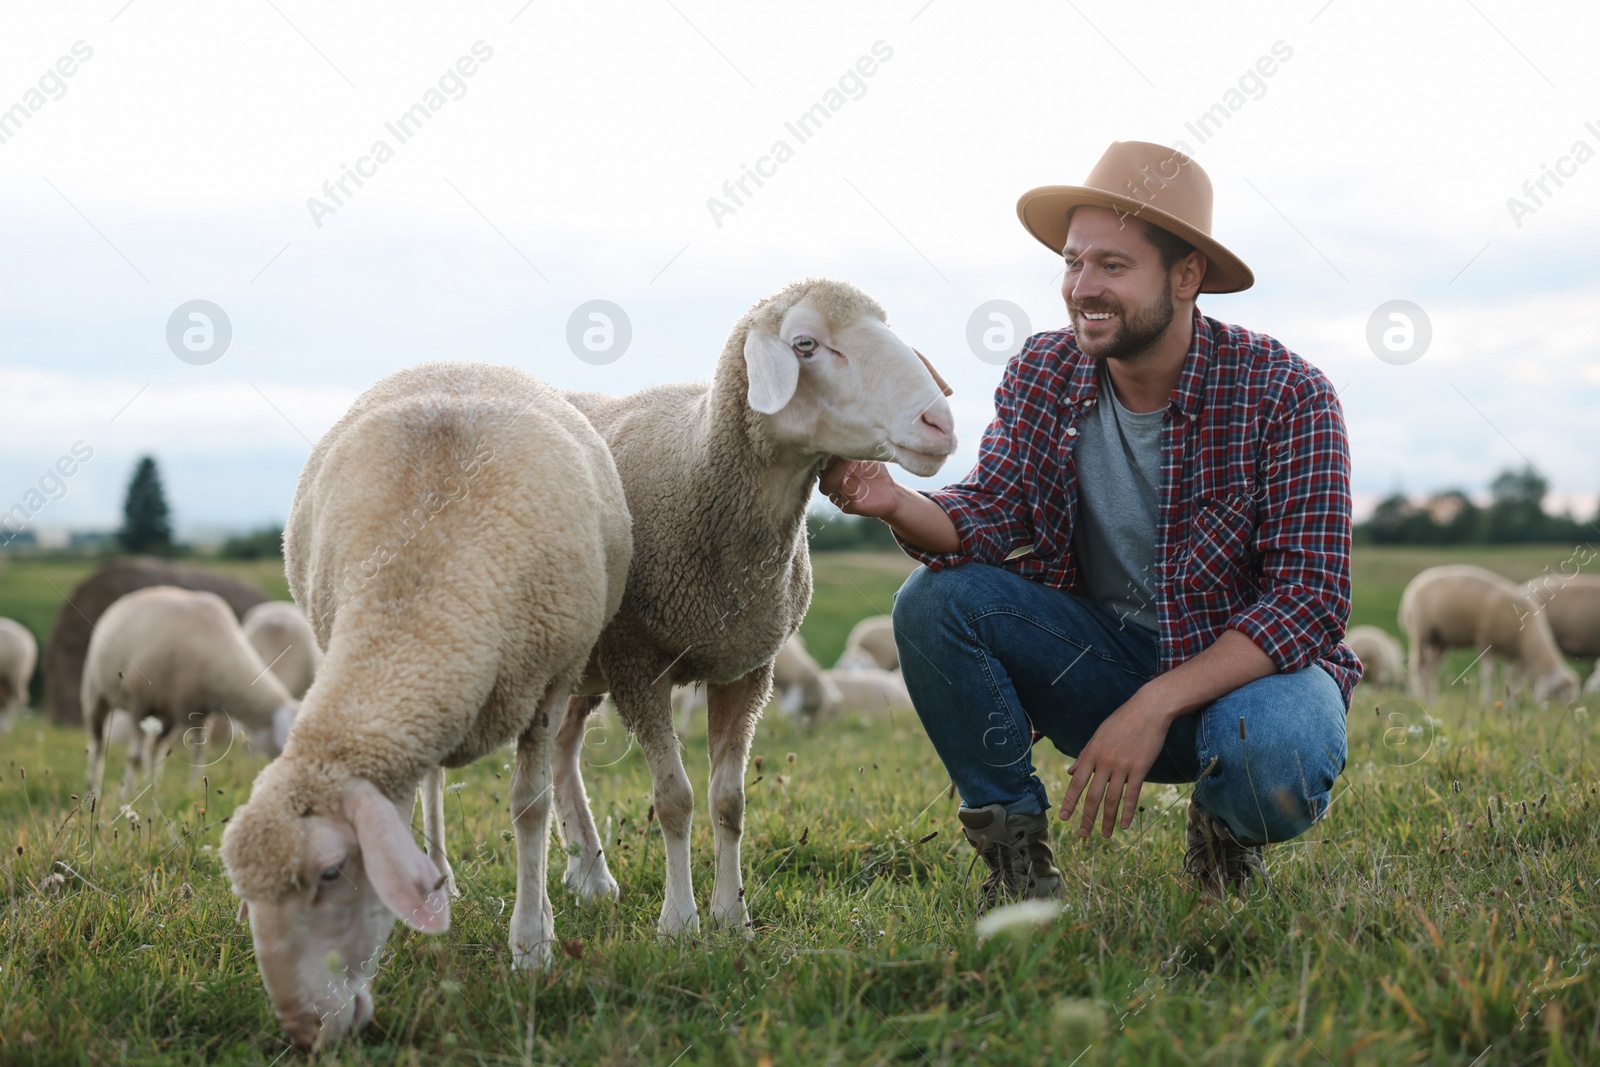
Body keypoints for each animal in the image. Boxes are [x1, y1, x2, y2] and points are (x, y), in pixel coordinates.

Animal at [81, 585, 296, 799]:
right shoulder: (140, 703)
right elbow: (134, 757)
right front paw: (125, 794)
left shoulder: (199, 710)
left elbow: (198, 751)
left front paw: (194, 788)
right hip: (95, 693)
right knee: (98, 745)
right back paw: (94, 790)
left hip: (167, 713)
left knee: (155, 749)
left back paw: (153, 786)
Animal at [220, 361, 630, 1049]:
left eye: (330, 872)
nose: (304, 1031)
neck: (419, 576)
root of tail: (464, 362)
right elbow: (408, 811)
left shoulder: (547, 682)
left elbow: (530, 808)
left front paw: (531, 945)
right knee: (432, 779)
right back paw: (439, 871)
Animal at [553, 278, 947, 934]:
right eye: (805, 344)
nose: (939, 421)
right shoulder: (638, 663)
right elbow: (674, 799)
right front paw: (679, 921)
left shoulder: (746, 668)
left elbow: (728, 801)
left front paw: (732, 916)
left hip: (581, 670)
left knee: (560, 751)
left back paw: (589, 875)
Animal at [1395, 563, 1580, 703]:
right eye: (1558, 692)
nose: (1569, 710)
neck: (1527, 637)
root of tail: (1411, 588)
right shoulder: (1485, 641)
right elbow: (1488, 675)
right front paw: (1486, 702)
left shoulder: (1511, 652)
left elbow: (1511, 679)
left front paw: (1509, 704)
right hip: (1421, 632)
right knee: (1418, 668)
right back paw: (1422, 700)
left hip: (1440, 640)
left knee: (1430, 669)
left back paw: (1431, 699)